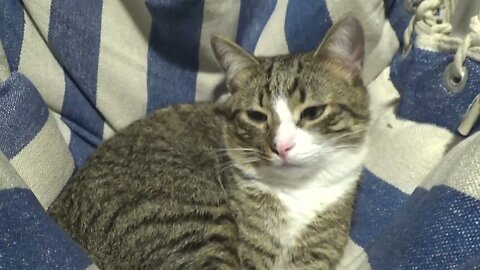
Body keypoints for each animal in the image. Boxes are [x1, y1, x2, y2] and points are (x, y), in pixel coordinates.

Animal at [48, 17, 370, 270]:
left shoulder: (316, 253)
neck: (298, 192)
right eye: (256, 116)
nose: (281, 147)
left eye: (313, 112)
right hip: (190, 214)